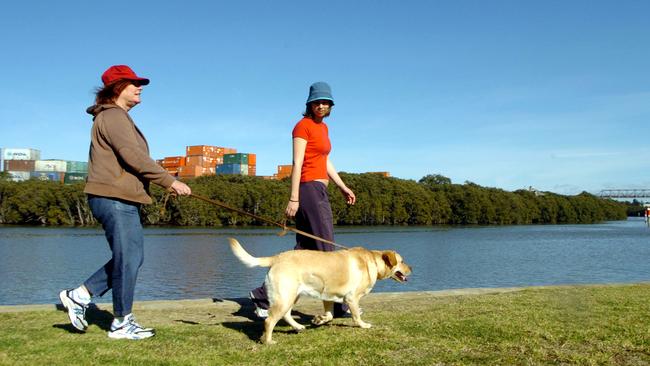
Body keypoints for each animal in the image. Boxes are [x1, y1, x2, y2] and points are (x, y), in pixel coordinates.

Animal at [228, 239, 410, 344]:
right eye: (402, 261)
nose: (411, 269)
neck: (371, 261)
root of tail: (276, 257)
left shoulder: (328, 296)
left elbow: (329, 315)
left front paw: (319, 319)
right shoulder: (352, 298)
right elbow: (356, 316)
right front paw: (363, 325)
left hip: (292, 296)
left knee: (286, 315)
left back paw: (298, 327)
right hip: (285, 297)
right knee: (270, 321)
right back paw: (268, 341)